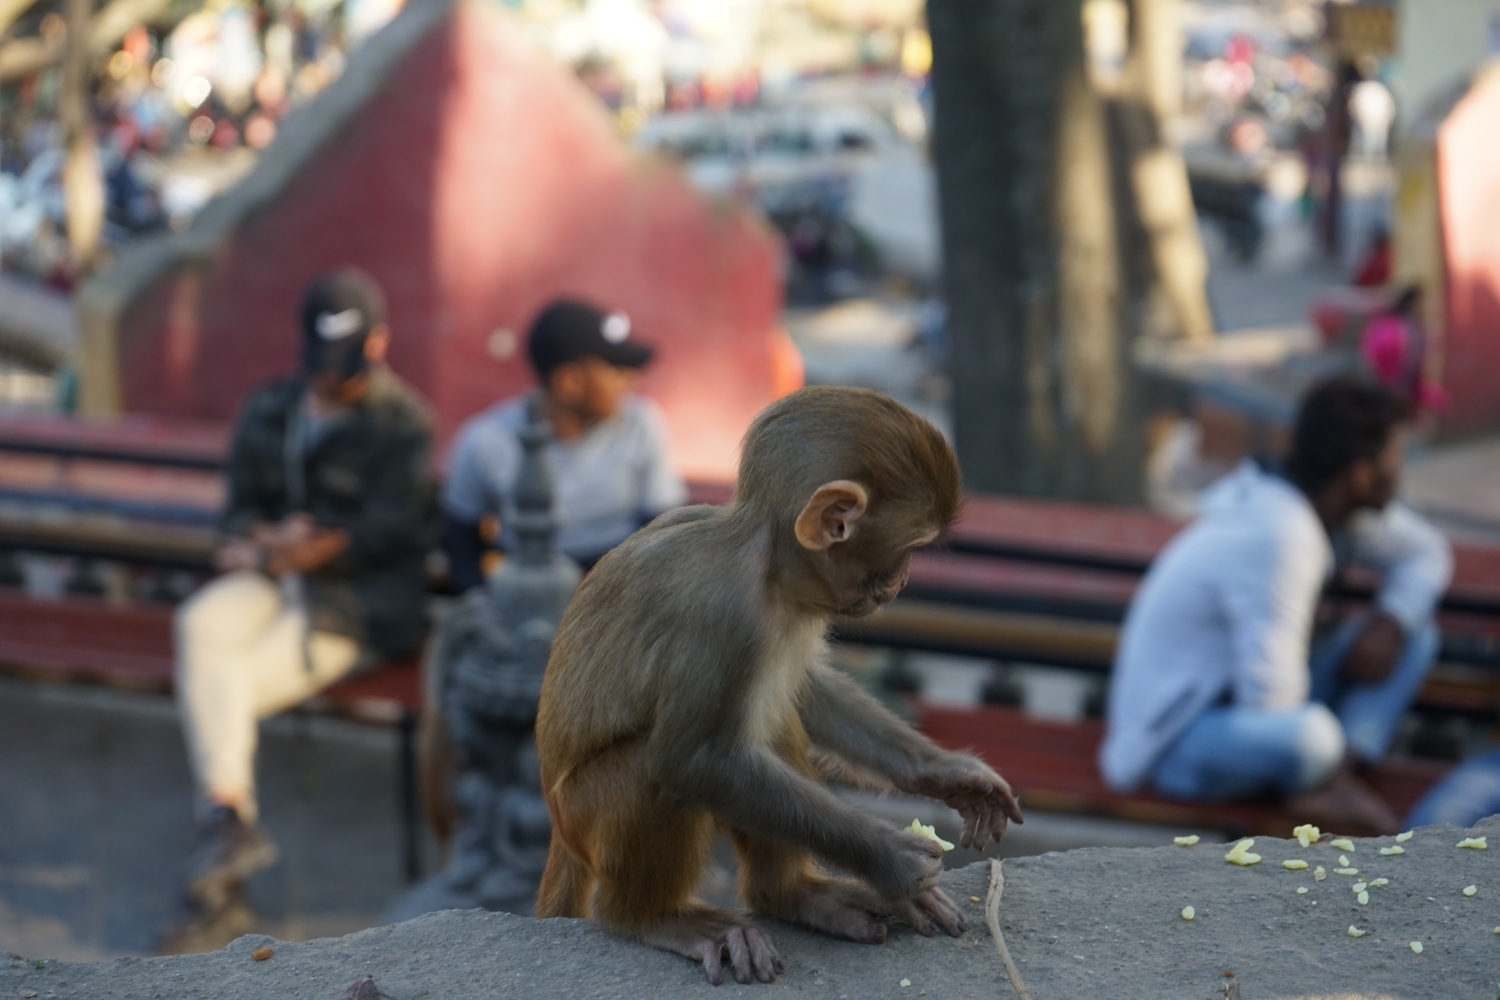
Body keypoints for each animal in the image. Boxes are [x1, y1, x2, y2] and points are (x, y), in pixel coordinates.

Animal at [534, 386, 1026, 983]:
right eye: (912, 545)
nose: (905, 579)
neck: (768, 568)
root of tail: (560, 828)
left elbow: (804, 688)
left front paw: (950, 773)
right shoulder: (720, 614)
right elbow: (692, 760)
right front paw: (891, 860)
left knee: (770, 717)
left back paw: (791, 895)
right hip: (588, 813)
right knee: (652, 769)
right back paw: (653, 917)